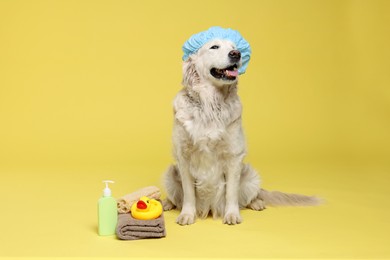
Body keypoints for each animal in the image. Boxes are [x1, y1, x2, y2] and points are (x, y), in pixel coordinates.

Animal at [163, 32, 318, 224]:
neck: (210, 105)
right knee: (176, 197)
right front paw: (187, 215)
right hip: (170, 175)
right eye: (214, 47)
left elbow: (231, 192)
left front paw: (231, 215)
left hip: (251, 176)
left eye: (233, 47)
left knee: (249, 197)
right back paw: (166, 203)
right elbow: (188, 193)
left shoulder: (233, 156)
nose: (236, 54)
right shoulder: (183, 156)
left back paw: (257, 203)